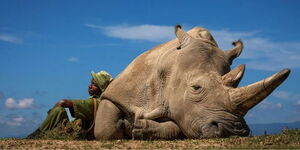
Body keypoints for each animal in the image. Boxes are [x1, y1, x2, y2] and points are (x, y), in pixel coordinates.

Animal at [94, 24, 290, 139]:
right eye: (196, 88)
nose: (233, 131)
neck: (170, 68)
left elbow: (179, 125)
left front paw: (139, 128)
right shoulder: (120, 91)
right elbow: (105, 128)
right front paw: (126, 127)